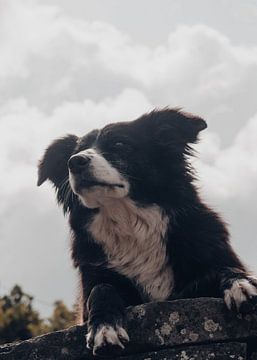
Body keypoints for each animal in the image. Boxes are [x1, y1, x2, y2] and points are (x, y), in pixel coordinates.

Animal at [37, 109, 256, 358]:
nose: (75, 162)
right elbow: (101, 289)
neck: (131, 224)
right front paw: (105, 328)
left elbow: (223, 269)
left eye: (119, 144)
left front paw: (241, 285)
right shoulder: (93, 280)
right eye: (75, 153)